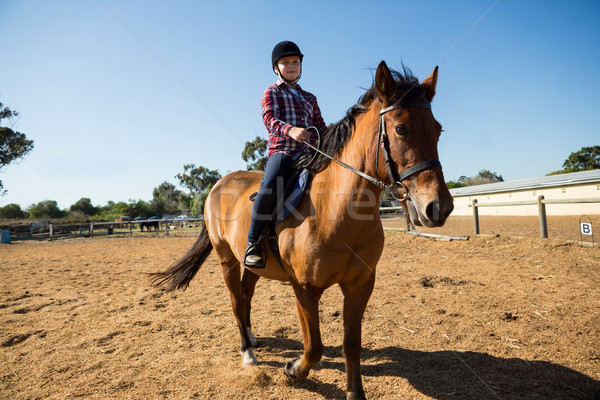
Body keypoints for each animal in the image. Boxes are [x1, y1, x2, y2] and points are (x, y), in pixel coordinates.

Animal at [151, 61, 454, 398]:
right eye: (401, 129)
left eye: (437, 129)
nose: (438, 207)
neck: (334, 212)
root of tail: (219, 184)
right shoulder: (304, 288)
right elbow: (314, 346)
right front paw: (294, 370)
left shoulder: (360, 285)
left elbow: (351, 343)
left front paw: (354, 392)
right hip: (226, 258)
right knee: (235, 301)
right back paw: (248, 353)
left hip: (254, 265)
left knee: (246, 294)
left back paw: (253, 338)